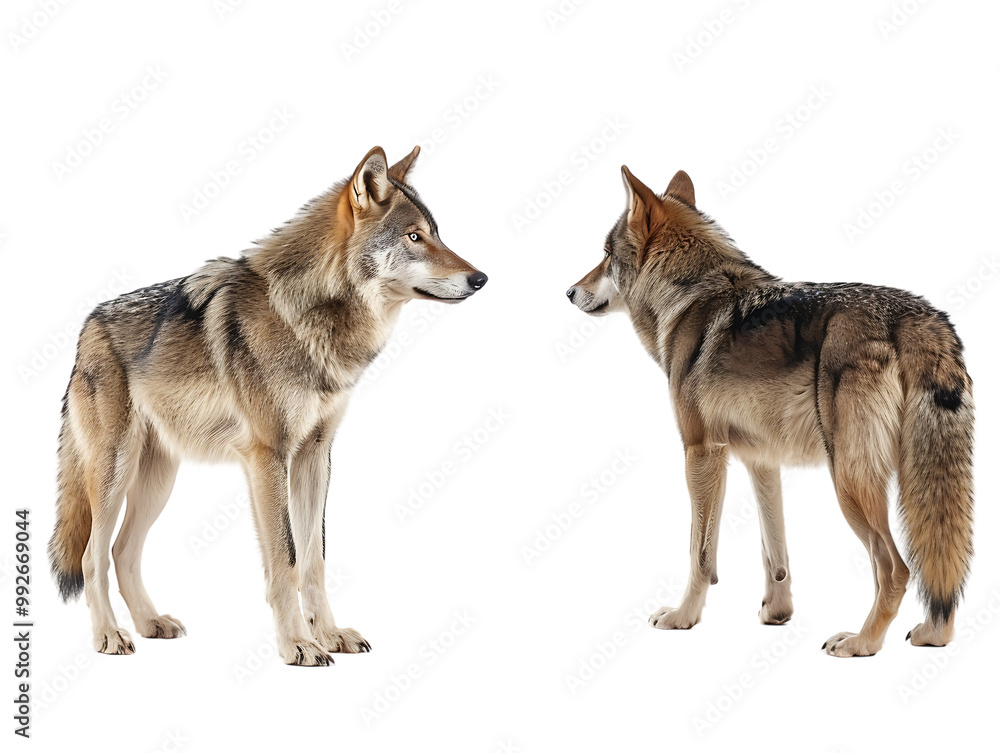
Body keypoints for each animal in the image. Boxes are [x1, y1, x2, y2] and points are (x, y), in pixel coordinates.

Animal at [49, 145, 487, 665]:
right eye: (414, 237)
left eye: (436, 233)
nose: (481, 278)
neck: (307, 318)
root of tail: (87, 328)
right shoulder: (267, 457)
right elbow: (287, 560)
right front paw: (297, 644)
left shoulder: (315, 456)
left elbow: (314, 559)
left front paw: (329, 634)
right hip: (115, 473)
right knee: (91, 556)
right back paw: (109, 635)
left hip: (158, 481)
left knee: (122, 551)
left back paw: (150, 624)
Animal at [567, 166, 974, 657]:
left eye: (606, 255)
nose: (568, 292)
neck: (687, 297)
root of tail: (916, 316)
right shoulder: (760, 459)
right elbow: (773, 551)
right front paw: (777, 614)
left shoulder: (701, 451)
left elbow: (699, 553)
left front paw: (683, 617)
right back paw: (932, 634)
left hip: (849, 481)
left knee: (895, 568)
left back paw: (861, 642)